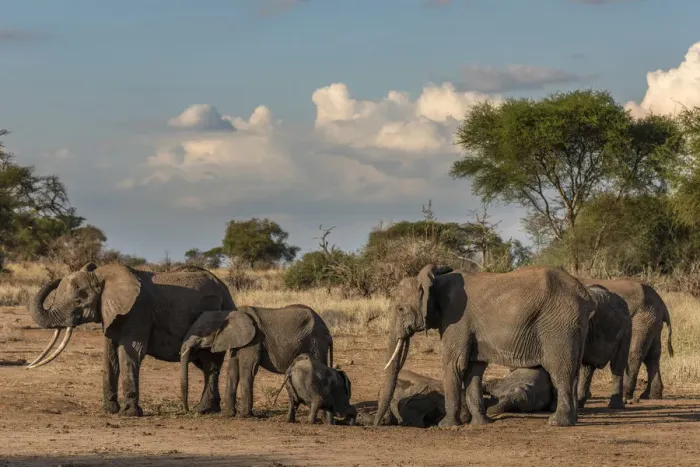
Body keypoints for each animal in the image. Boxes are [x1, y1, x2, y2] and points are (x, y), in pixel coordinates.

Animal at [26, 263, 236, 416]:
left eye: (78, 301)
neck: (102, 275)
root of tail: (225, 288)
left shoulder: (137, 311)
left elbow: (131, 352)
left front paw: (129, 413)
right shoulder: (111, 313)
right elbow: (109, 356)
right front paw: (109, 411)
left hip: (220, 314)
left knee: (210, 364)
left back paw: (204, 410)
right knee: (207, 366)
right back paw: (209, 410)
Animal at [180, 304, 333, 418]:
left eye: (201, 332)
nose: (188, 411)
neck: (229, 313)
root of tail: (327, 331)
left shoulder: (254, 339)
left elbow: (247, 369)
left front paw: (244, 416)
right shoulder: (238, 340)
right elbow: (232, 370)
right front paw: (228, 415)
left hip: (316, 343)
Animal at [374, 264, 596, 428]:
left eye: (400, 309)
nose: (378, 424)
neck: (434, 280)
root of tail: (584, 295)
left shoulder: (456, 318)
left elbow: (454, 364)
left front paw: (446, 426)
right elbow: (474, 368)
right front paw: (481, 424)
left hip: (558, 325)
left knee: (560, 371)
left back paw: (557, 422)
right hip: (574, 327)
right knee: (574, 370)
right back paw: (572, 420)